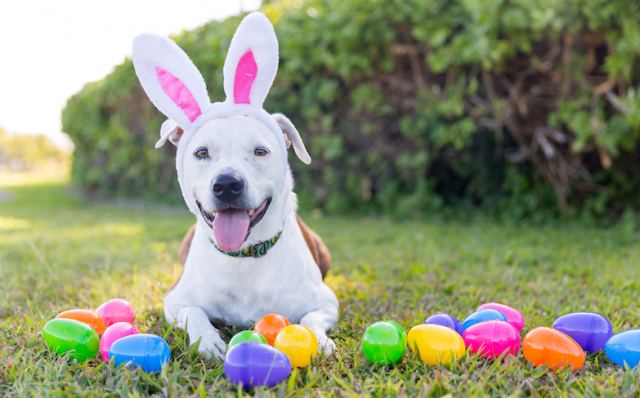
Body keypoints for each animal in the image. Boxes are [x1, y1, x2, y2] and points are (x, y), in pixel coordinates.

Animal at [131, 12, 340, 360]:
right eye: (202, 152)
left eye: (260, 151)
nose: (227, 184)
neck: (243, 256)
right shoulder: (175, 300)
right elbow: (195, 314)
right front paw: (208, 341)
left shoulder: (326, 302)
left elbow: (311, 319)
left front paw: (320, 342)